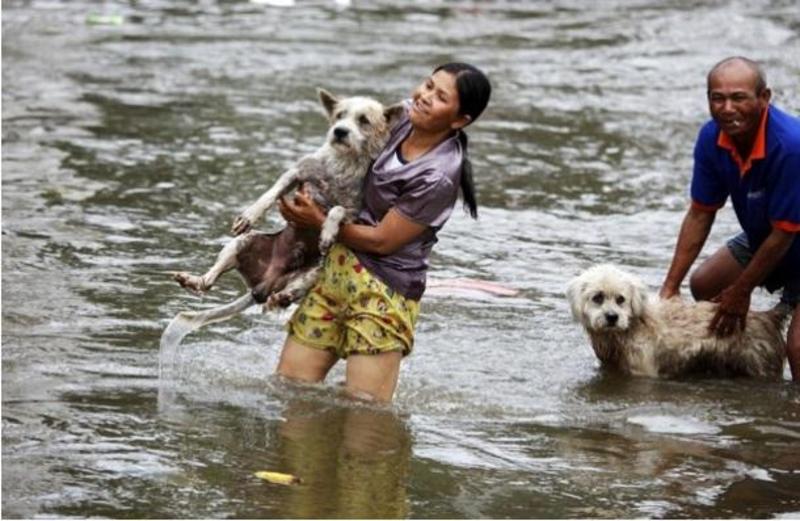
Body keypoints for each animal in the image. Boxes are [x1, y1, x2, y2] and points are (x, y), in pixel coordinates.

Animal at [162, 91, 404, 348]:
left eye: (364, 120)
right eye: (339, 115)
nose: (339, 131)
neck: (343, 163)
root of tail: (263, 286)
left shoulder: (354, 212)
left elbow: (336, 209)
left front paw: (328, 231)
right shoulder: (297, 173)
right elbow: (270, 194)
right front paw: (249, 215)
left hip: (316, 272)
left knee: (289, 294)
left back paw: (281, 297)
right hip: (243, 243)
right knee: (209, 280)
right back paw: (193, 280)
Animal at [568, 264, 788, 378]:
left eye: (621, 299)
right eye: (597, 297)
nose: (612, 317)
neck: (630, 328)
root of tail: (768, 316)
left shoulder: (643, 369)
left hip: (761, 365)